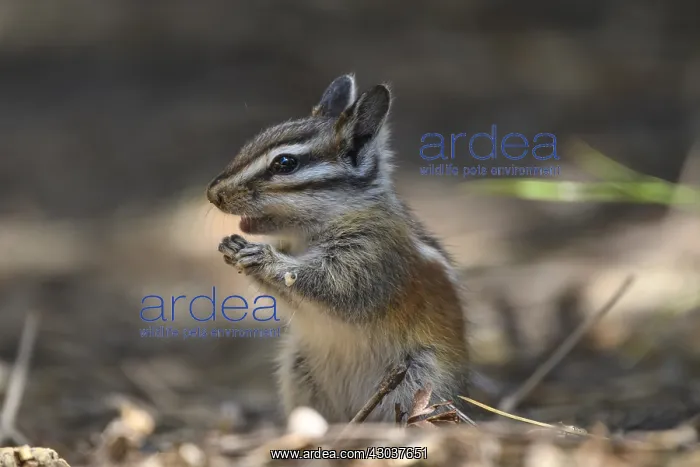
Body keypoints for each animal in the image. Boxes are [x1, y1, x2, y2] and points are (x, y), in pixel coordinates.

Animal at [206, 74, 473, 424]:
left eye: (285, 163)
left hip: (418, 377)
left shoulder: (371, 255)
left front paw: (262, 257)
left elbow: (335, 287)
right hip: (298, 368)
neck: (308, 235)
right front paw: (232, 247)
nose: (213, 194)